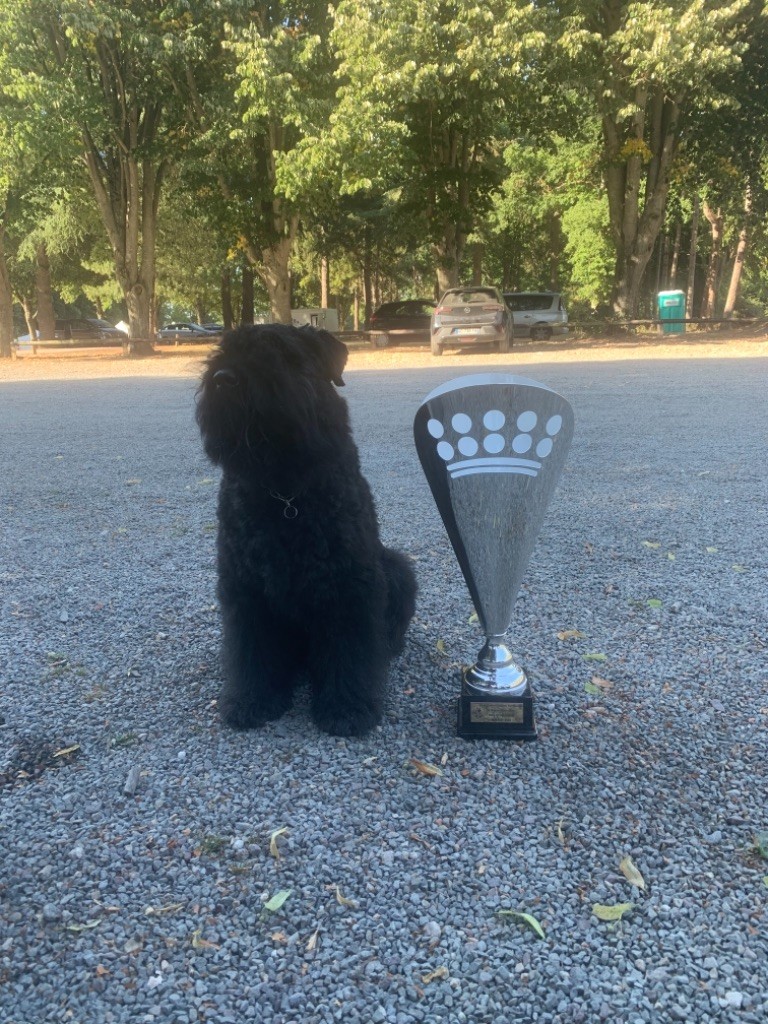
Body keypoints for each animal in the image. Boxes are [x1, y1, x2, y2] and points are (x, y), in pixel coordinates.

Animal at [195, 323, 417, 733]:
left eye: (285, 353)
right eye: (222, 349)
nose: (224, 378)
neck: (285, 491)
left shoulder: (349, 585)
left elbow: (349, 649)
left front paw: (346, 707)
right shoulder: (245, 588)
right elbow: (252, 649)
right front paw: (252, 699)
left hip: (395, 568)